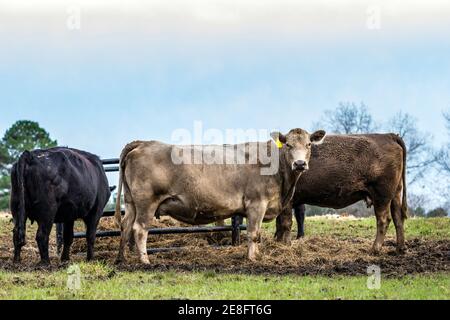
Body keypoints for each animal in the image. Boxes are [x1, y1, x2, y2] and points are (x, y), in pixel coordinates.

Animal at [276, 134, 410, 254]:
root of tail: (388, 135)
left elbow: (285, 223)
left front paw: (285, 245)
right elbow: (280, 223)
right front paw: (277, 242)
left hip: (381, 196)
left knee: (384, 219)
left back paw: (374, 249)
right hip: (395, 194)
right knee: (398, 218)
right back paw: (400, 249)